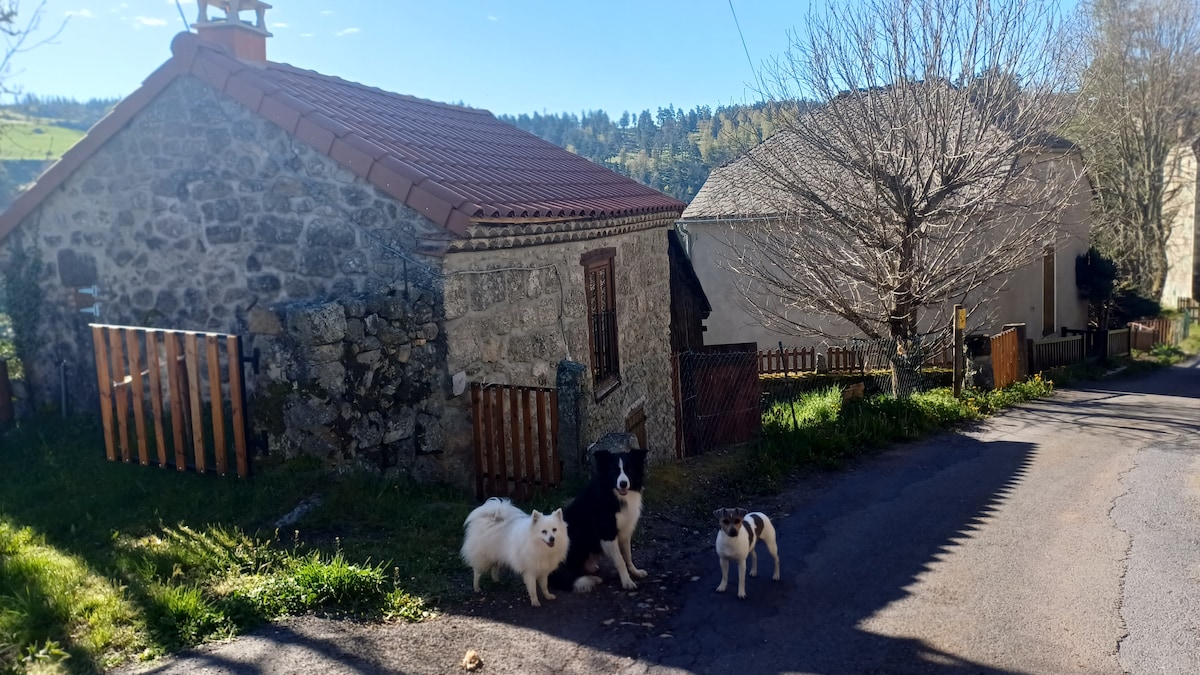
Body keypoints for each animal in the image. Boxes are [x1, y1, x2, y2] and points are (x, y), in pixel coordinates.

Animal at [549, 447, 648, 593]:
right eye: (614, 470)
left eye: (629, 470)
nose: (623, 483)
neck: (614, 495)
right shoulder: (607, 533)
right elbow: (620, 560)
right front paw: (627, 581)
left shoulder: (625, 531)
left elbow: (628, 556)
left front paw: (635, 572)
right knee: (571, 573)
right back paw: (591, 579)